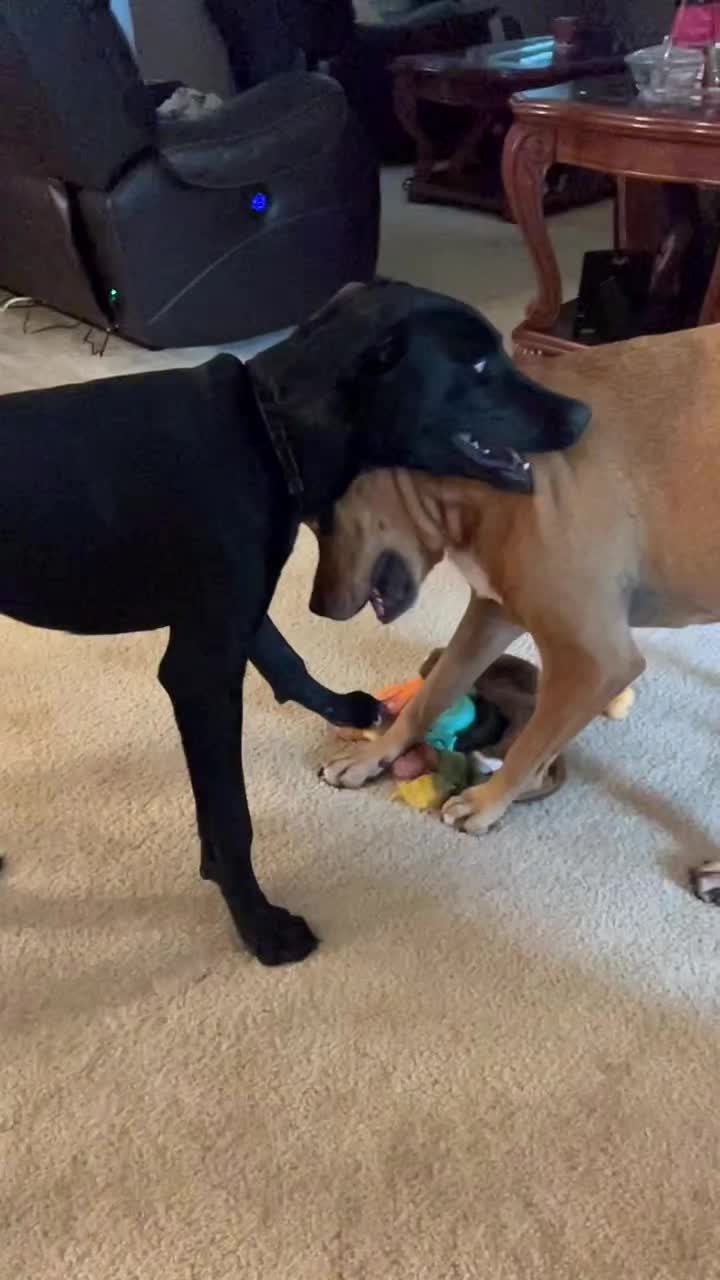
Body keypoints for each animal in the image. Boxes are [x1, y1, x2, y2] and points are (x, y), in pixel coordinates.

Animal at [0, 280, 589, 964]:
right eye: (475, 365)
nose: (583, 416)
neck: (265, 432)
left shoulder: (234, 613)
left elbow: (286, 660)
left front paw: (350, 710)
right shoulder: (202, 670)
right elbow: (232, 818)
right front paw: (260, 925)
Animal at [311, 322, 720, 900]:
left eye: (319, 516)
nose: (317, 606)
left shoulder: (596, 662)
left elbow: (530, 744)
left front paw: (485, 803)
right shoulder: (490, 614)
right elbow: (430, 698)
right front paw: (375, 755)